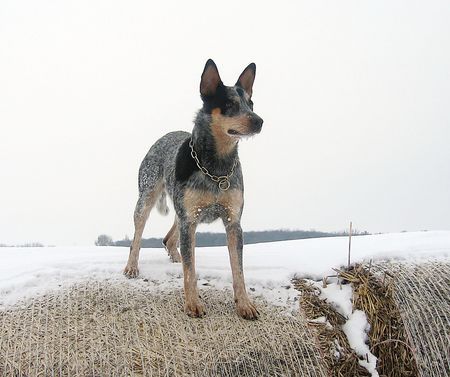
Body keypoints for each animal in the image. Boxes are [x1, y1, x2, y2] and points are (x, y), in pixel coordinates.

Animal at [123, 58, 264, 318]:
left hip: (182, 212)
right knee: (137, 235)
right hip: (147, 198)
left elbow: (238, 270)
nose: (259, 120)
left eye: (250, 104)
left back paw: (174, 254)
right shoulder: (190, 220)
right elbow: (191, 271)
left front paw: (244, 304)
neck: (217, 168)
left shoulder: (233, 222)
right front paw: (192, 303)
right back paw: (131, 266)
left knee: (169, 239)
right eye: (229, 104)